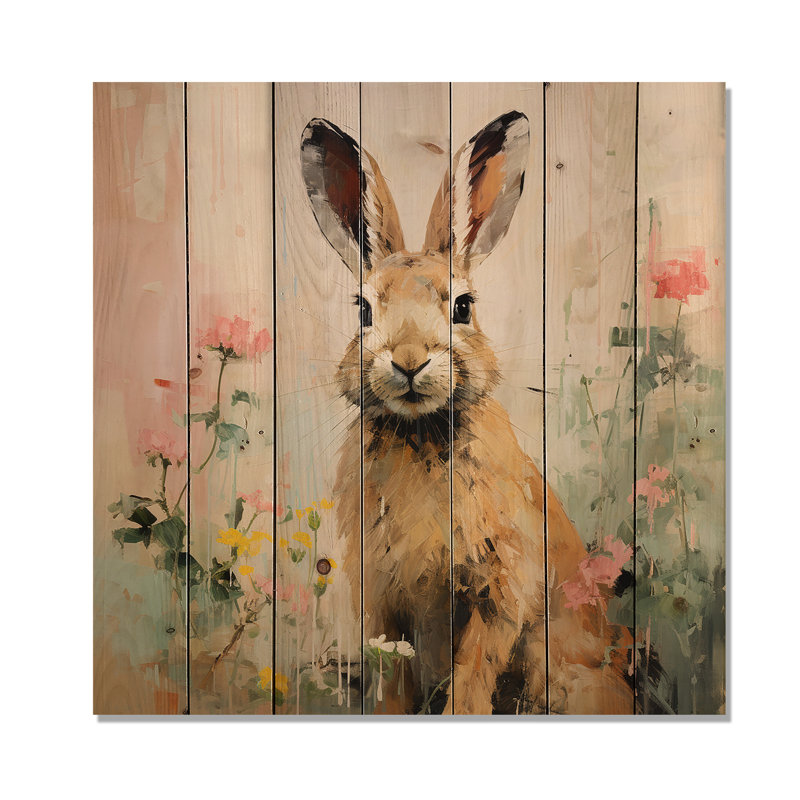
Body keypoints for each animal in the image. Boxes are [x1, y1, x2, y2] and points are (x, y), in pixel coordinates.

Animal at [300, 111, 634, 714]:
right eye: (363, 310)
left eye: (463, 306)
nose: (409, 360)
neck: (421, 433)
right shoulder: (383, 600)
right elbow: (393, 675)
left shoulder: (501, 585)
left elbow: (475, 668)